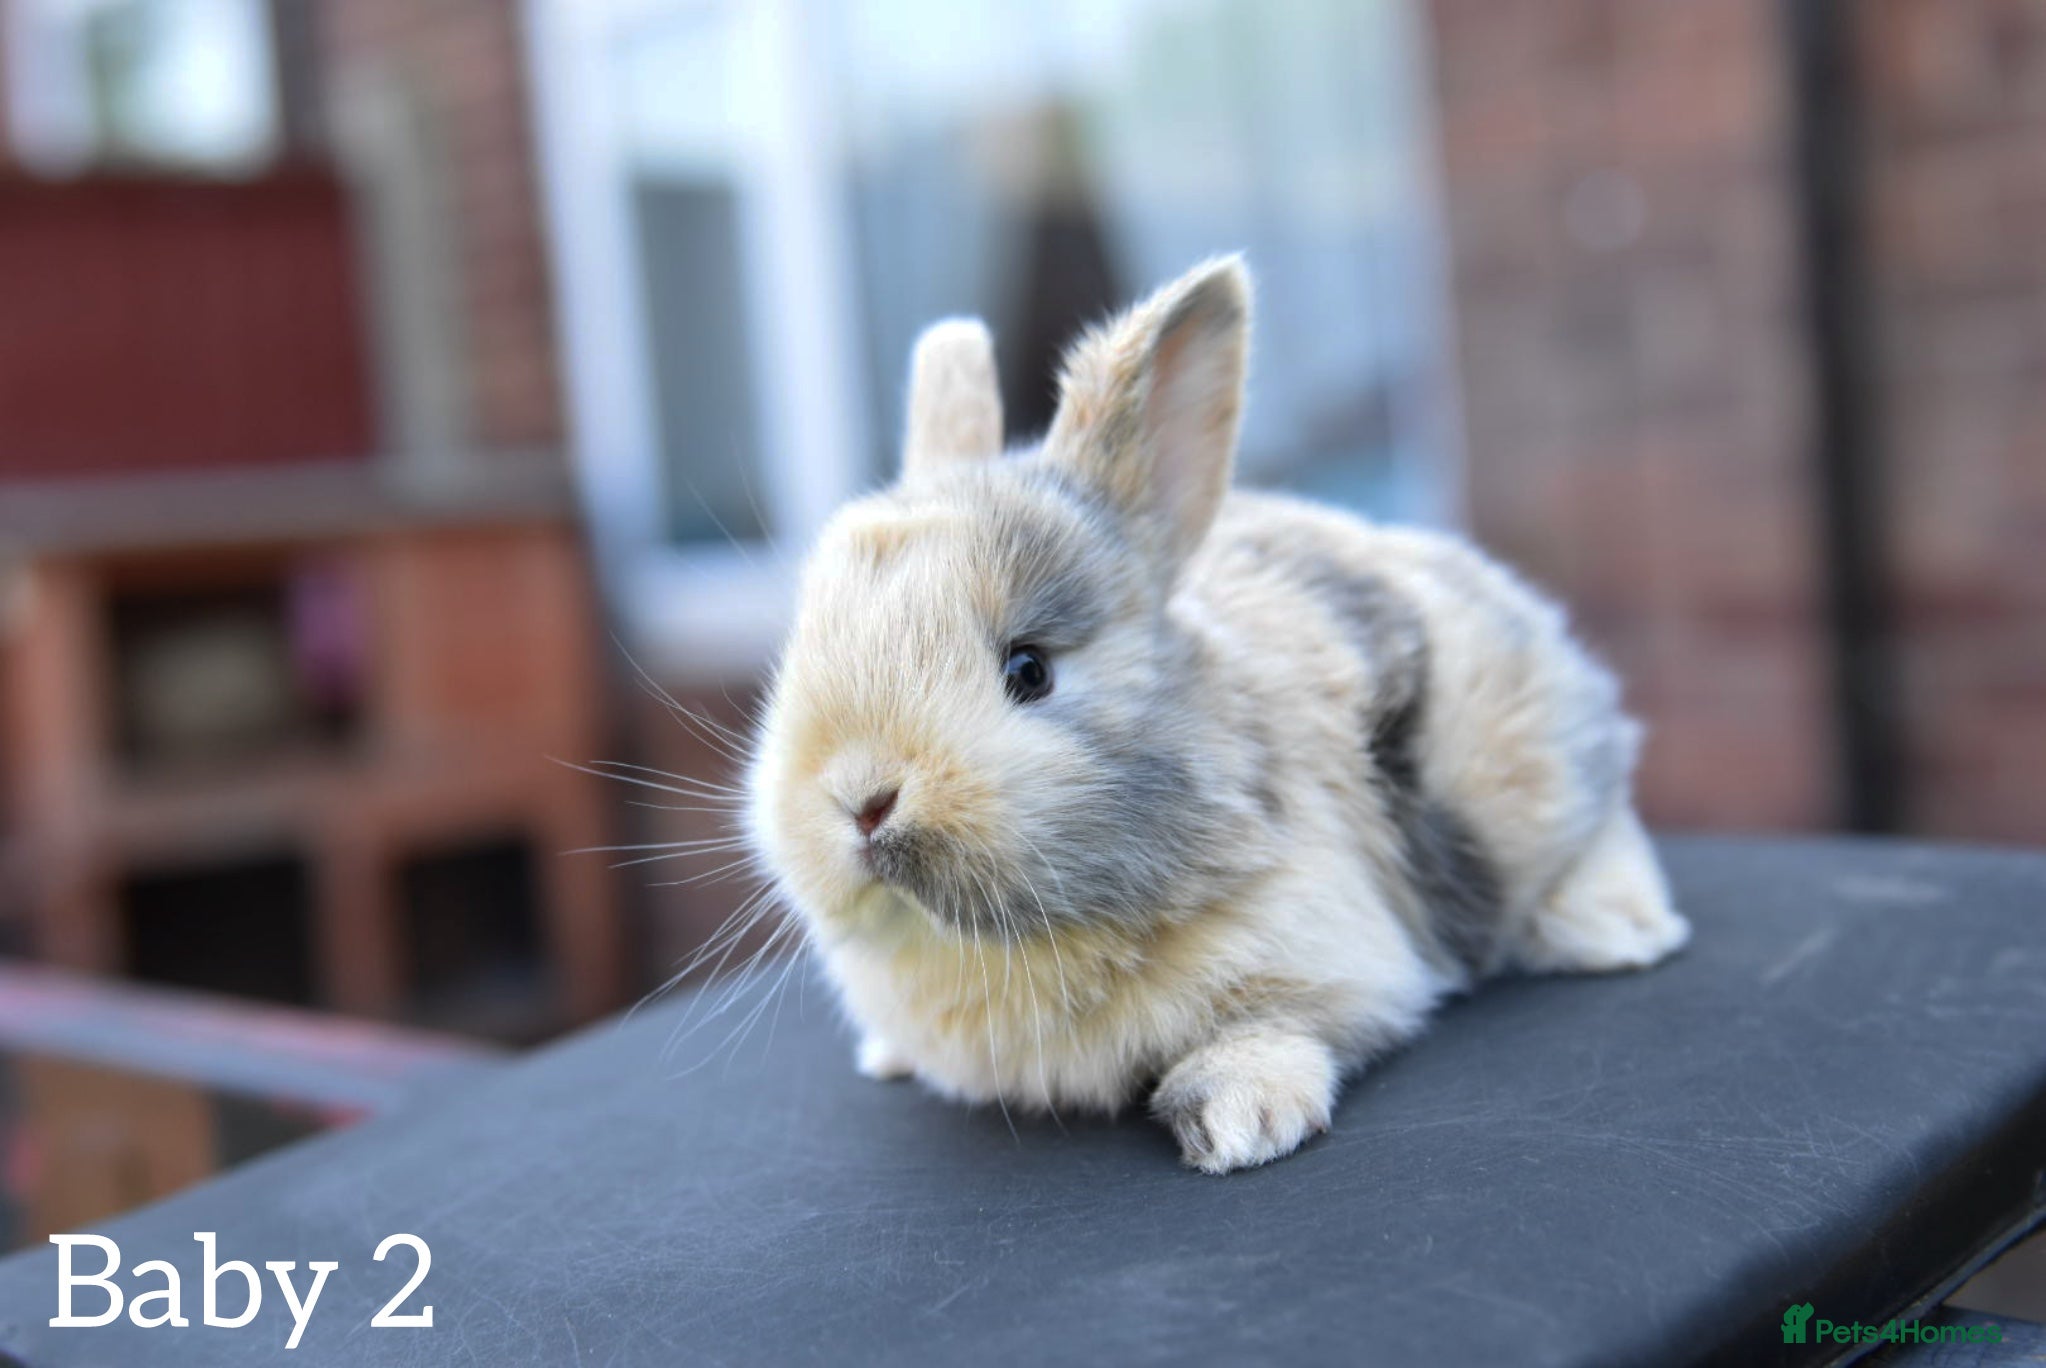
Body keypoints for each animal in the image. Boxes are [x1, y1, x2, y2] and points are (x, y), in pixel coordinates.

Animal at [747, 257, 1689, 1174]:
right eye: (802, 648)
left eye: (1029, 670)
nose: (862, 800)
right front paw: (887, 1056)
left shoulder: (1322, 954)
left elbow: (1274, 1026)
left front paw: (1238, 1123)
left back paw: (1615, 932)